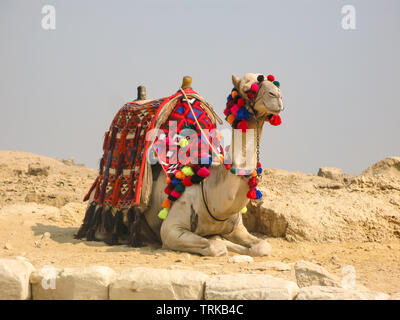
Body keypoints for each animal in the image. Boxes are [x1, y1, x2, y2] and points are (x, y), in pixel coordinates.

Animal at [79, 72, 282, 255]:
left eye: (273, 82)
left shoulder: (238, 228)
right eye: (248, 89)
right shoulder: (171, 228)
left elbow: (263, 247)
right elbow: (216, 246)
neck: (211, 191)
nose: (277, 96)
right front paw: (218, 240)